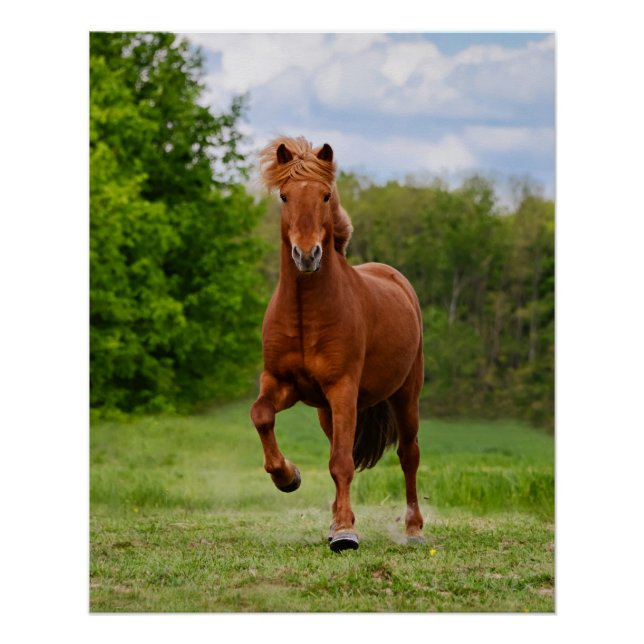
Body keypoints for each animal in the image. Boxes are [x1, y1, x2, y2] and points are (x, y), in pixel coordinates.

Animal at [250, 136, 425, 551]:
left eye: (326, 195)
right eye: (284, 196)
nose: (307, 254)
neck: (305, 314)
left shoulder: (343, 388)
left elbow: (342, 462)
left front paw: (346, 532)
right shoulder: (280, 383)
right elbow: (261, 415)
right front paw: (288, 477)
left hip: (405, 395)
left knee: (408, 455)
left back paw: (413, 529)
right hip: (326, 412)